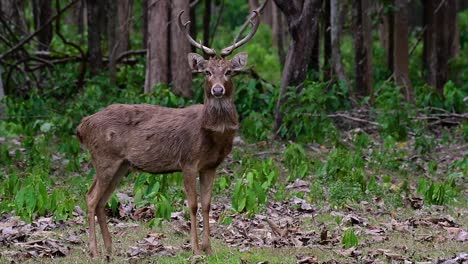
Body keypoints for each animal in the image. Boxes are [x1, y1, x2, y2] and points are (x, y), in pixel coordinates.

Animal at [77, 2, 266, 258]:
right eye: (206, 72)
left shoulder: (211, 166)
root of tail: (83, 126)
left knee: (101, 200)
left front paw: (209, 248)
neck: (211, 135)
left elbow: (208, 205)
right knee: (90, 197)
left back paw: (109, 248)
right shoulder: (188, 160)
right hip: (104, 157)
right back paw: (95, 251)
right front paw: (195, 249)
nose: (217, 90)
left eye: (229, 71)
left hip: (121, 164)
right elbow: (193, 205)